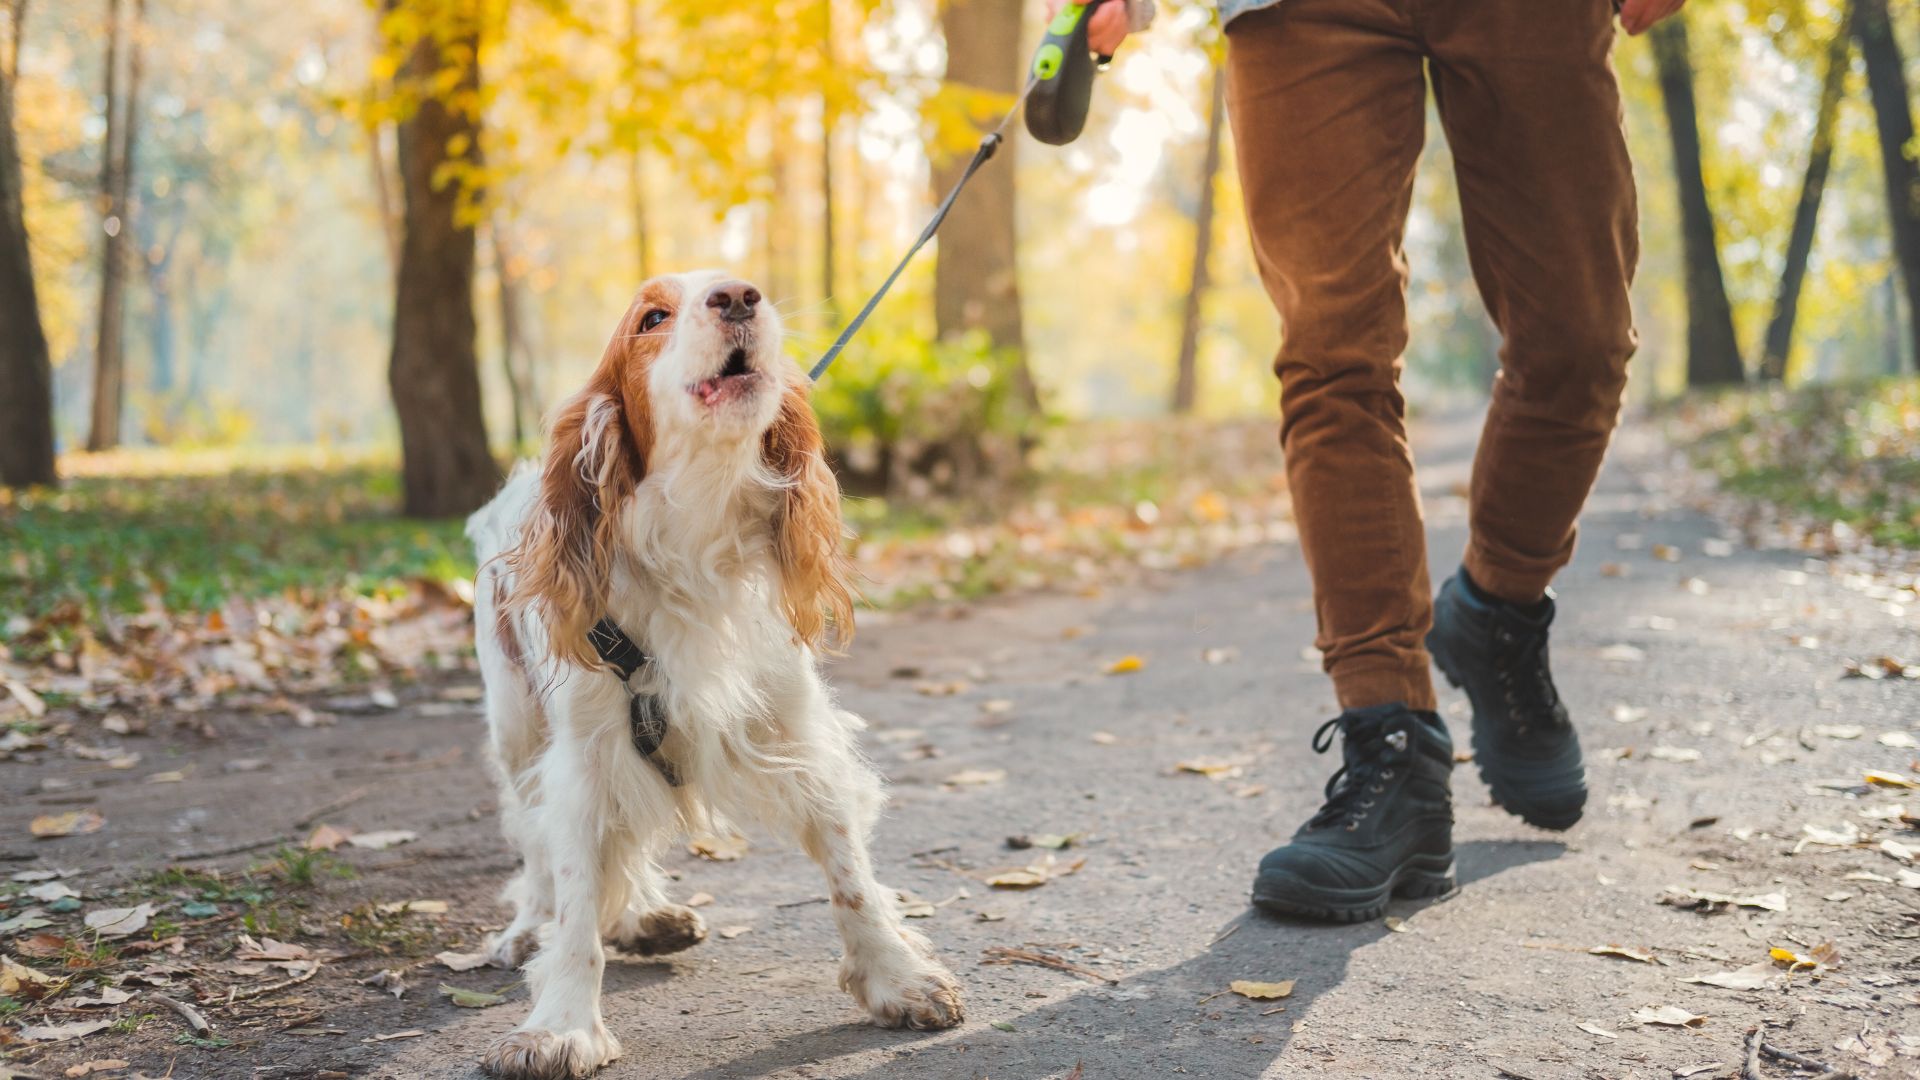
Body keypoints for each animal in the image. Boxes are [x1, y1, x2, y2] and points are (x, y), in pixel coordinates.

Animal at [462, 270, 967, 1076]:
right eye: (652, 317)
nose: (738, 296)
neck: (694, 533)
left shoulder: (796, 730)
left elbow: (850, 874)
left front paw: (897, 976)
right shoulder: (585, 756)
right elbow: (575, 898)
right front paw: (561, 1025)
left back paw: (646, 917)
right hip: (517, 730)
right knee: (537, 845)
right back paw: (530, 928)